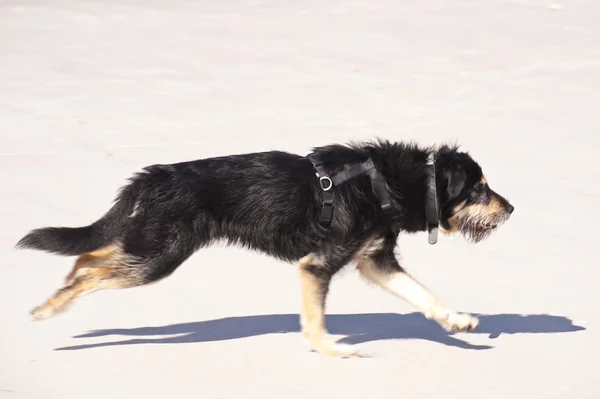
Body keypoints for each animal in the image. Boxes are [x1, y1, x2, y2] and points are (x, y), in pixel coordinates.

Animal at [16, 139, 512, 358]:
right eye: (479, 189)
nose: (511, 208)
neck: (392, 182)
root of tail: (157, 175)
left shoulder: (375, 261)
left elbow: (423, 295)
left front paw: (457, 321)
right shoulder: (318, 265)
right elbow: (314, 320)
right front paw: (331, 349)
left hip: (151, 246)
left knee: (88, 255)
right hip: (159, 255)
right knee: (90, 269)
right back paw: (48, 309)